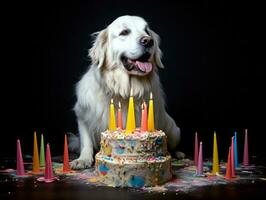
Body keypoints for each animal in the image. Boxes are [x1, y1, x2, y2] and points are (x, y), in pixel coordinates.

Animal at [70, 16, 181, 169]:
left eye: (147, 31)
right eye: (124, 32)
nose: (148, 40)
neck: (122, 89)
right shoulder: (83, 115)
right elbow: (86, 142)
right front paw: (83, 159)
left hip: (174, 130)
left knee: (171, 145)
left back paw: (178, 154)